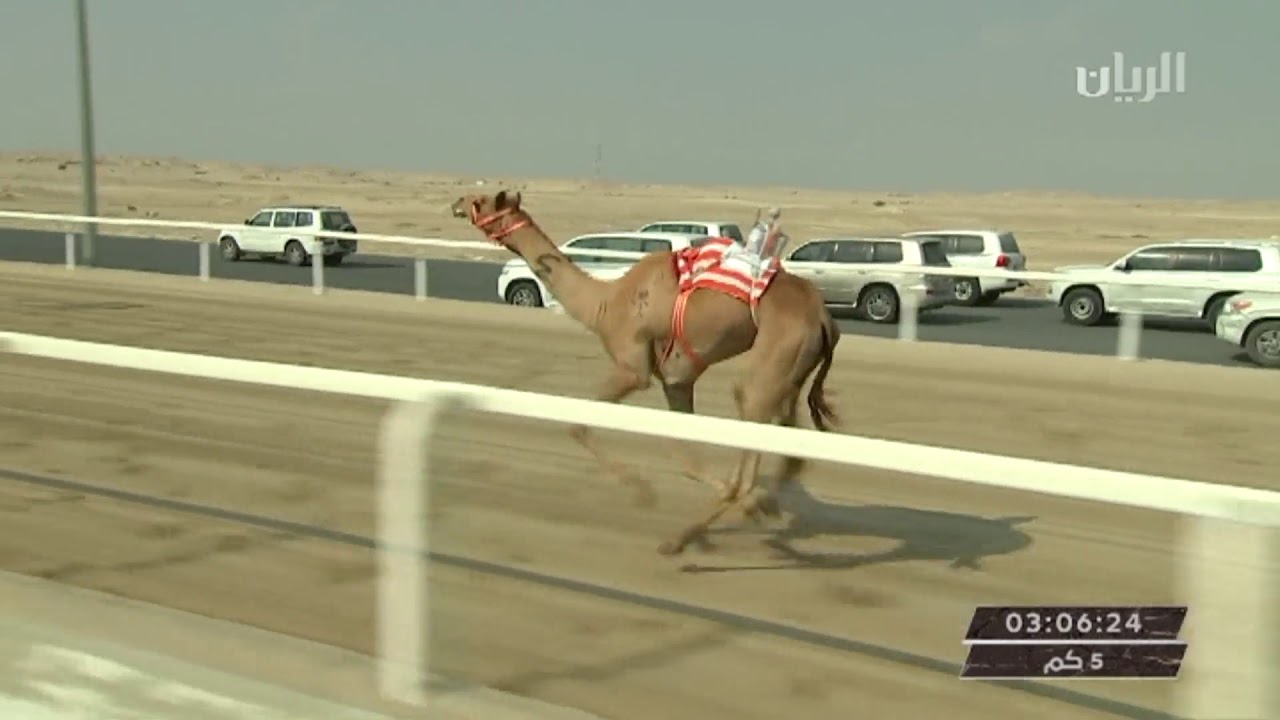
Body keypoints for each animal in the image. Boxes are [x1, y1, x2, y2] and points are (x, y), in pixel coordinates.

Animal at [449, 190, 841, 555]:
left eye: (482, 201)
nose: (456, 203)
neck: (604, 304)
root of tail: (825, 319)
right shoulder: (677, 379)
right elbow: (684, 451)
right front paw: (752, 507)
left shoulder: (632, 367)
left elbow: (578, 426)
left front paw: (644, 493)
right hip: (792, 373)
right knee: (792, 452)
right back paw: (750, 509)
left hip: (772, 363)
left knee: (751, 420)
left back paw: (685, 536)